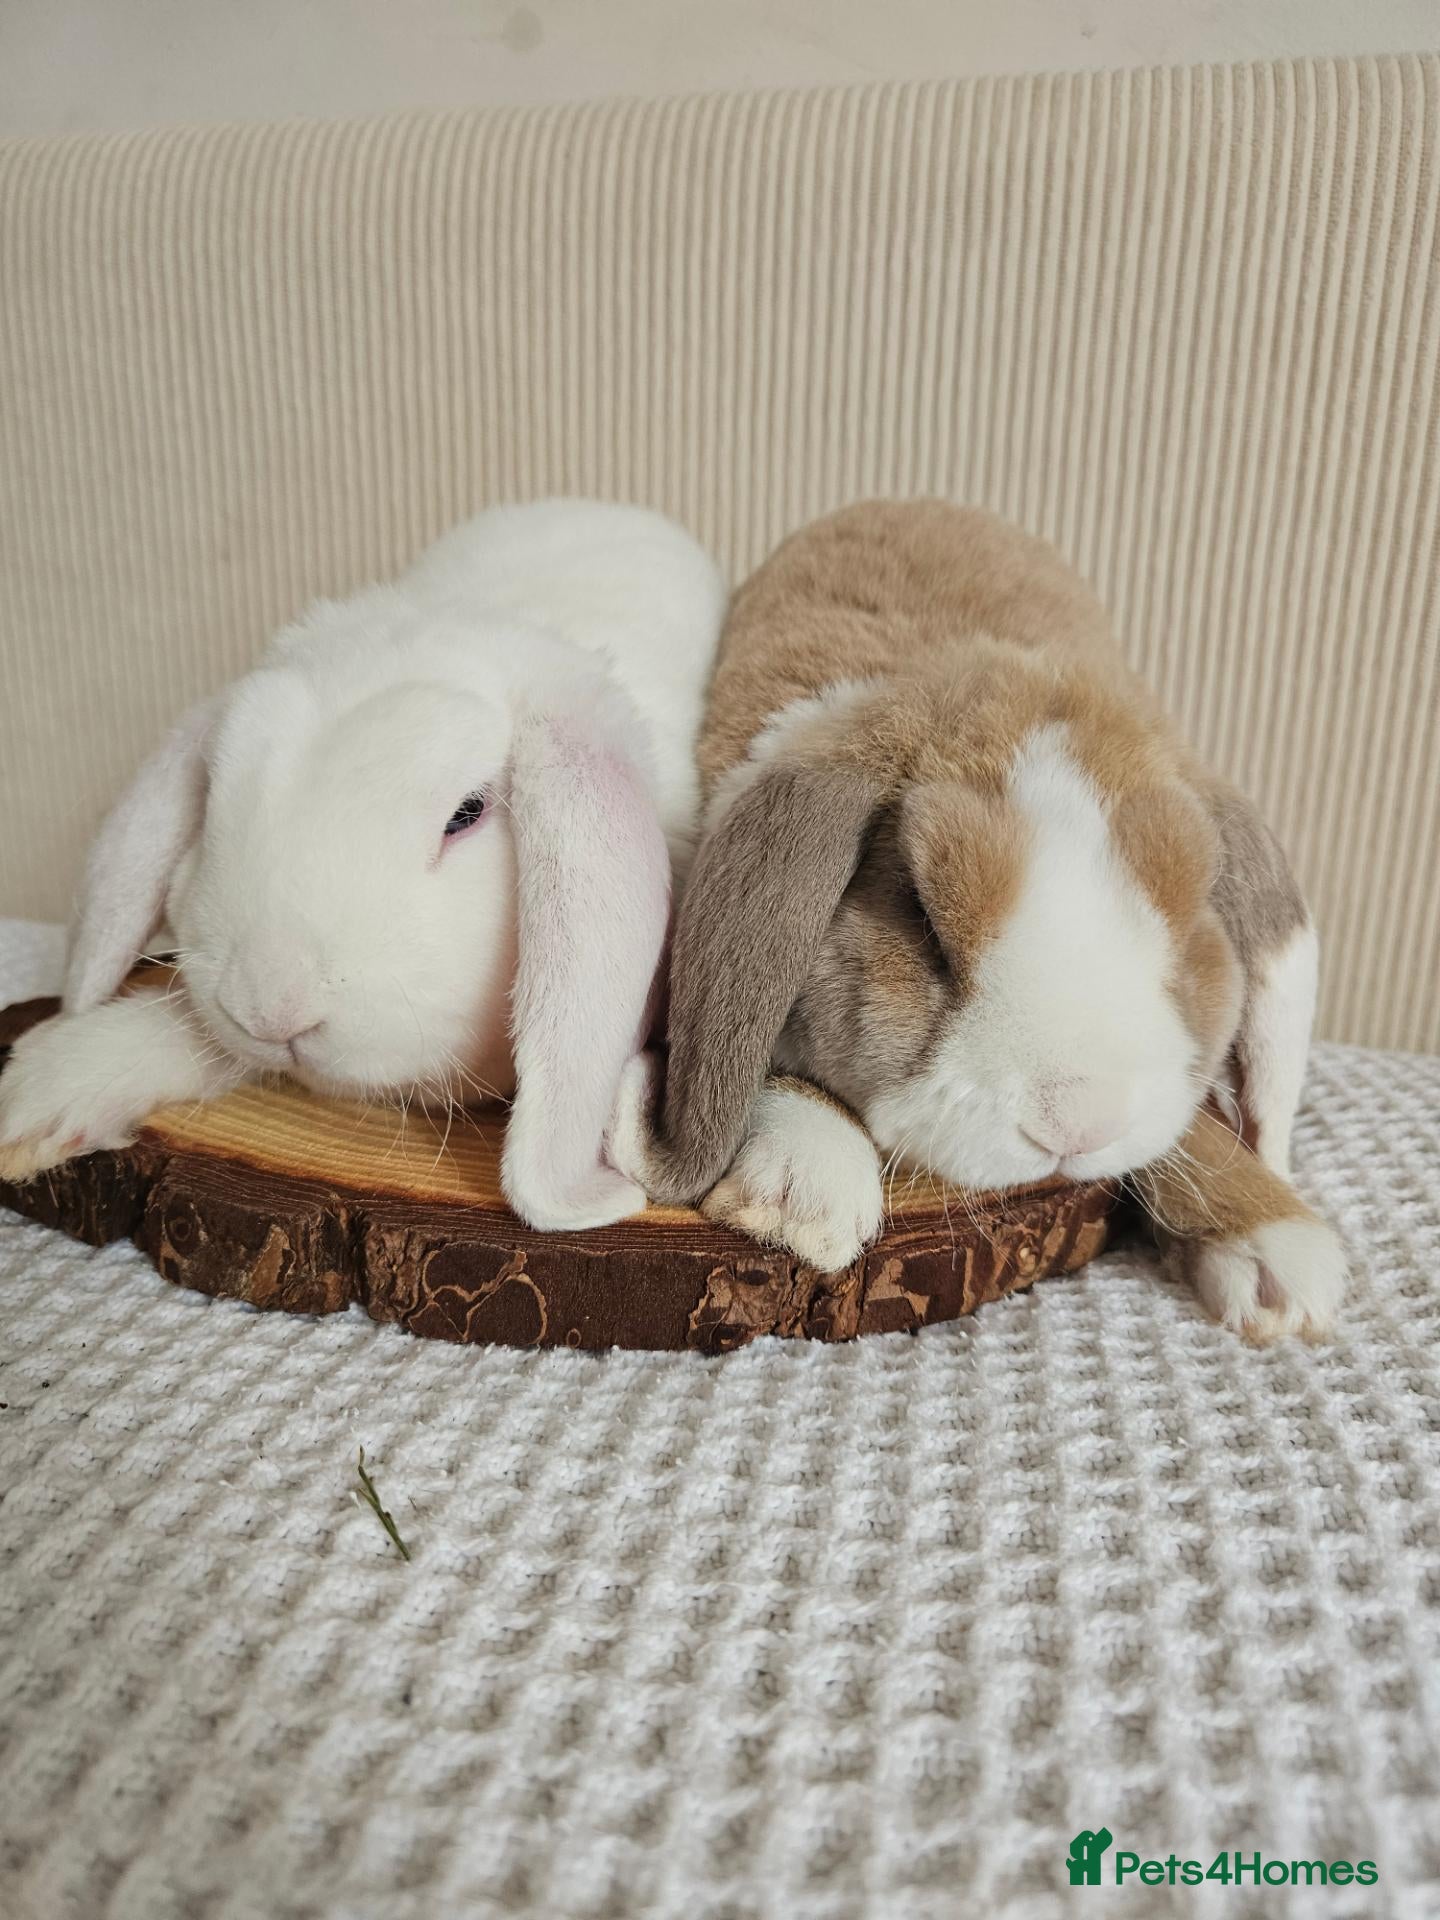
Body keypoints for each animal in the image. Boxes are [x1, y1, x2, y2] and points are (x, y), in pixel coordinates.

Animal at [608, 499, 1346, 1340]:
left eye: (1187, 922)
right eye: (925, 925)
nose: (1075, 1125)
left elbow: (1184, 1124)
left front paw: (1279, 1261)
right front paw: (802, 1196)